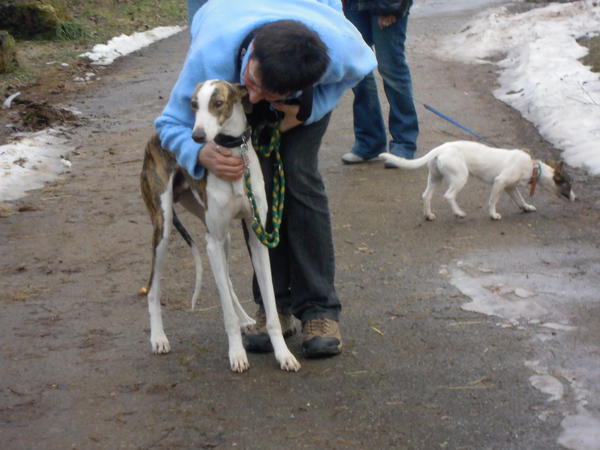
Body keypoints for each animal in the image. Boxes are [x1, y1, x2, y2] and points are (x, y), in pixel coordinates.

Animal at [139, 80, 300, 372]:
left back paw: (246, 318)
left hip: (221, 236)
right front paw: (237, 354)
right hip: (164, 228)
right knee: (153, 288)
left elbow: (271, 307)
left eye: (218, 103)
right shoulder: (212, 243)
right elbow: (226, 314)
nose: (197, 137)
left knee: (227, 280)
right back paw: (158, 338)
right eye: (193, 105)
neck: (234, 153)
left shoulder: (257, 238)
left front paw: (283, 354)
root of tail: (155, 137)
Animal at [382, 139, 576, 220]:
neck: (532, 167)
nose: (576, 198)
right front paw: (493, 215)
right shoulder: (500, 182)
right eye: (568, 184)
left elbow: (520, 199)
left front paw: (526, 207)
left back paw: (428, 215)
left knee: (426, 196)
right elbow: (492, 202)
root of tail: (440, 148)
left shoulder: (510, 187)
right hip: (460, 177)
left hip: (435, 177)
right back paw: (458, 213)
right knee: (449, 196)